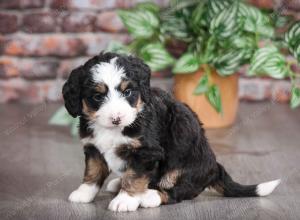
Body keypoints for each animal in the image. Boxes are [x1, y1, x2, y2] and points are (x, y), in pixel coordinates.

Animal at [62, 51, 282, 211]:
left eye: (128, 92)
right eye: (98, 97)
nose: (117, 118)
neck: (115, 129)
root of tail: (214, 168)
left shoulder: (146, 152)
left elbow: (135, 176)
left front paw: (125, 200)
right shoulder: (93, 148)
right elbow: (93, 171)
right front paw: (84, 193)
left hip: (182, 168)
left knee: (177, 191)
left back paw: (149, 196)